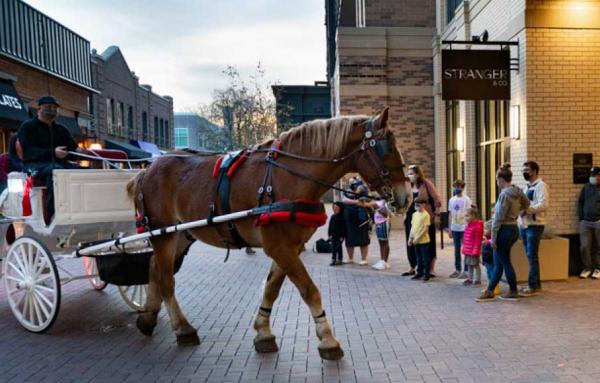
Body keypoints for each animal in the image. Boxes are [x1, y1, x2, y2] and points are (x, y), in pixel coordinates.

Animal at [126, 106, 412, 362]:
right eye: (387, 148)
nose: (405, 196)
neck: (289, 177)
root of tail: (147, 170)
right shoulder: (278, 246)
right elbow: (309, 290)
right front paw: (327, 339)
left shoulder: (290, 247)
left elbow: (272, 288)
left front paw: (263, 332)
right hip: (163, 234)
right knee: (165, 279)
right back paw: (183, 329)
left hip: (181, 235)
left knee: (154, 270)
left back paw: (148, 318)